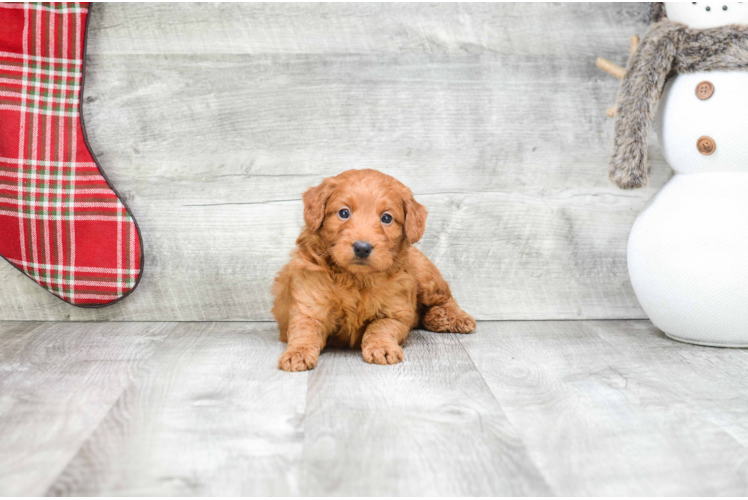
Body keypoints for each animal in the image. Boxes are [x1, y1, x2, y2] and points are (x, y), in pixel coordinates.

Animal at [272, 169, 476, 372]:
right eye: (344, 213)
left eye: (386, 218)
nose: (362, 248)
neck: (356, 278)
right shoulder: (309, 306)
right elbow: (304, 331)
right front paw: (297, 354)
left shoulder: (396, 312)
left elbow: (380, 327)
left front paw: (382, 348)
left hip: (425, 276)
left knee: (446, 297)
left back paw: (453, 318)